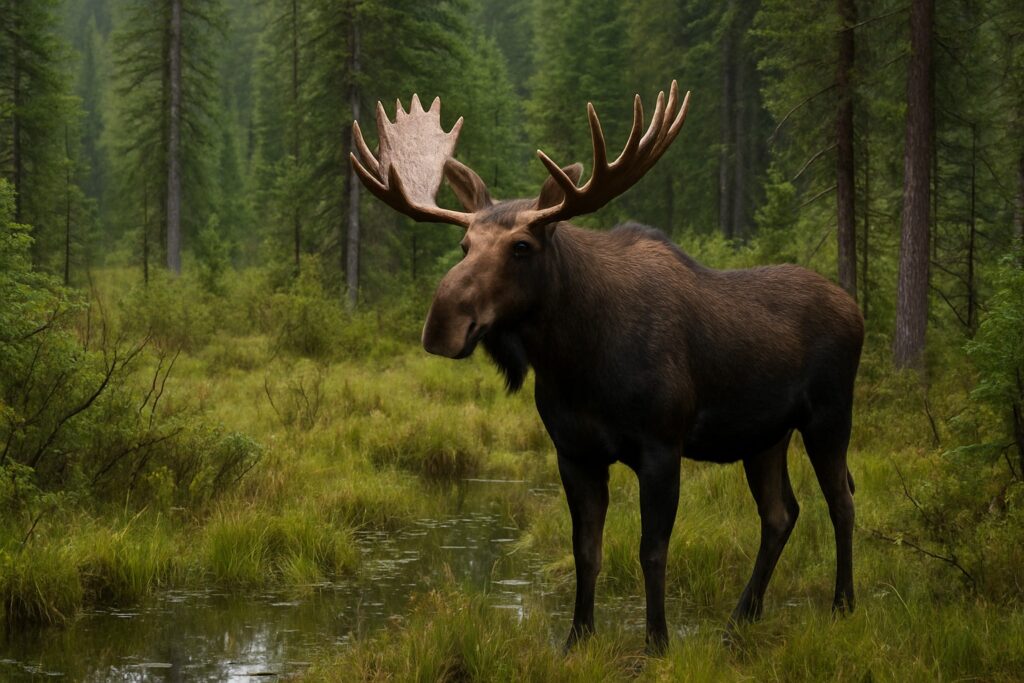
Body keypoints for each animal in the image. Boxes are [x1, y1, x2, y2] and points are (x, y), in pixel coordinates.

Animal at [350, 81, 864, 654]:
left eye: (521, 246)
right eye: (464, 245)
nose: (442, 323)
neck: (578, 361)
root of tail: (856, 309)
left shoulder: (661, 447)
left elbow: (651, 552)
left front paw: (657, 643)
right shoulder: (574, 452)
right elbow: (586, 551)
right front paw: (577, 638)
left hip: (829, 415)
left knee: (841, 501)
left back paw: (843, 605)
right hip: (764, 435)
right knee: (780, 514)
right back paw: (740, 620)